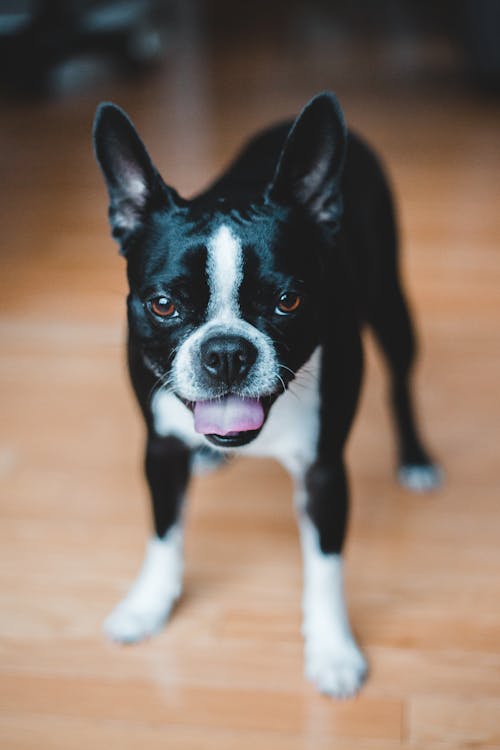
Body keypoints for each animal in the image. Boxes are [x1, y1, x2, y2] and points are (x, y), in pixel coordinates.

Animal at [94, 92, 442, 700]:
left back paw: (416, 459)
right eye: (163, 305)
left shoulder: (324, 471)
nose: (227, 351)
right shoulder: (159, 450)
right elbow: (164, 534)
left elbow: (325, 565)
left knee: (401, 381)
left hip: (390, 305)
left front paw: (332, 650)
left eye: (288, 301)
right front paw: (148, 605)